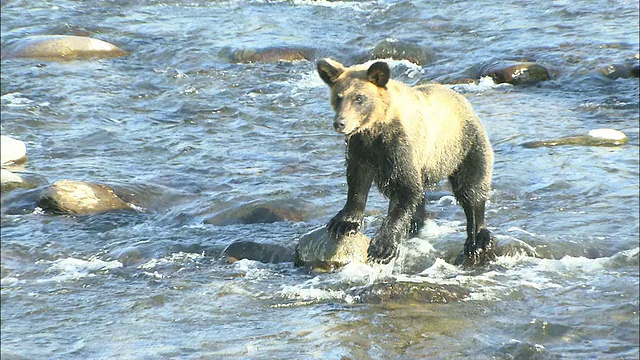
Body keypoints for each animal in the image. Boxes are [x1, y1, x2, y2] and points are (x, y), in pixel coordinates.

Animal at [318, 58, 496, 264]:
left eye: (359, 98)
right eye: (338, 97)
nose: (340, 123)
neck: (376, 130)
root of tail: (464, 101)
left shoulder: (401, 148)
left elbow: (405, 190)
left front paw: (382, 246)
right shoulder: (360, 149)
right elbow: (357, 182)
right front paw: (343, 223)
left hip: (463, 146)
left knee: (471, 188)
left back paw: (477, 239)